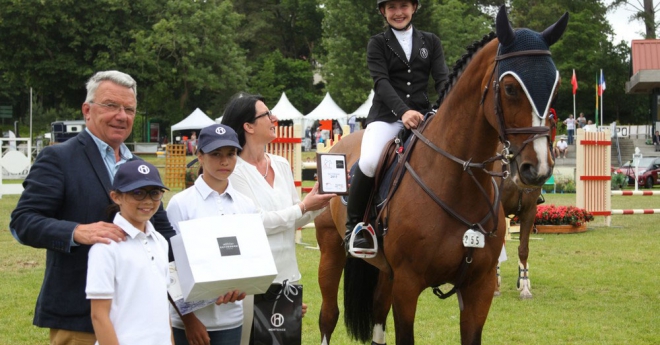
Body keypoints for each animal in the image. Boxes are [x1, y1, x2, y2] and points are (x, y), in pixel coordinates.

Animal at [314, 6, 568, 344]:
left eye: (556, 87)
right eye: (511, 88)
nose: (537, 168)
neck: (459, 182)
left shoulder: (478, 288)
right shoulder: (407, 285)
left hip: (384, 272)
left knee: (378, 310)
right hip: (331, 249)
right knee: (328, 315)